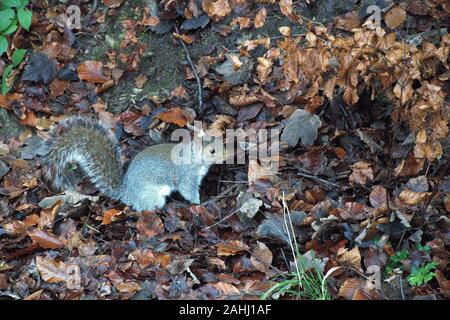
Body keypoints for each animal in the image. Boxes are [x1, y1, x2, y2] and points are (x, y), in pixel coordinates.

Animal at [42, 116, 218, 211]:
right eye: (212, 151)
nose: (224, 157)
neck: (194, 157)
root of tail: (126, 193)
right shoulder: (187, 175)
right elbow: (187, 190)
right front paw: (198, 202)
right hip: (151, 195)